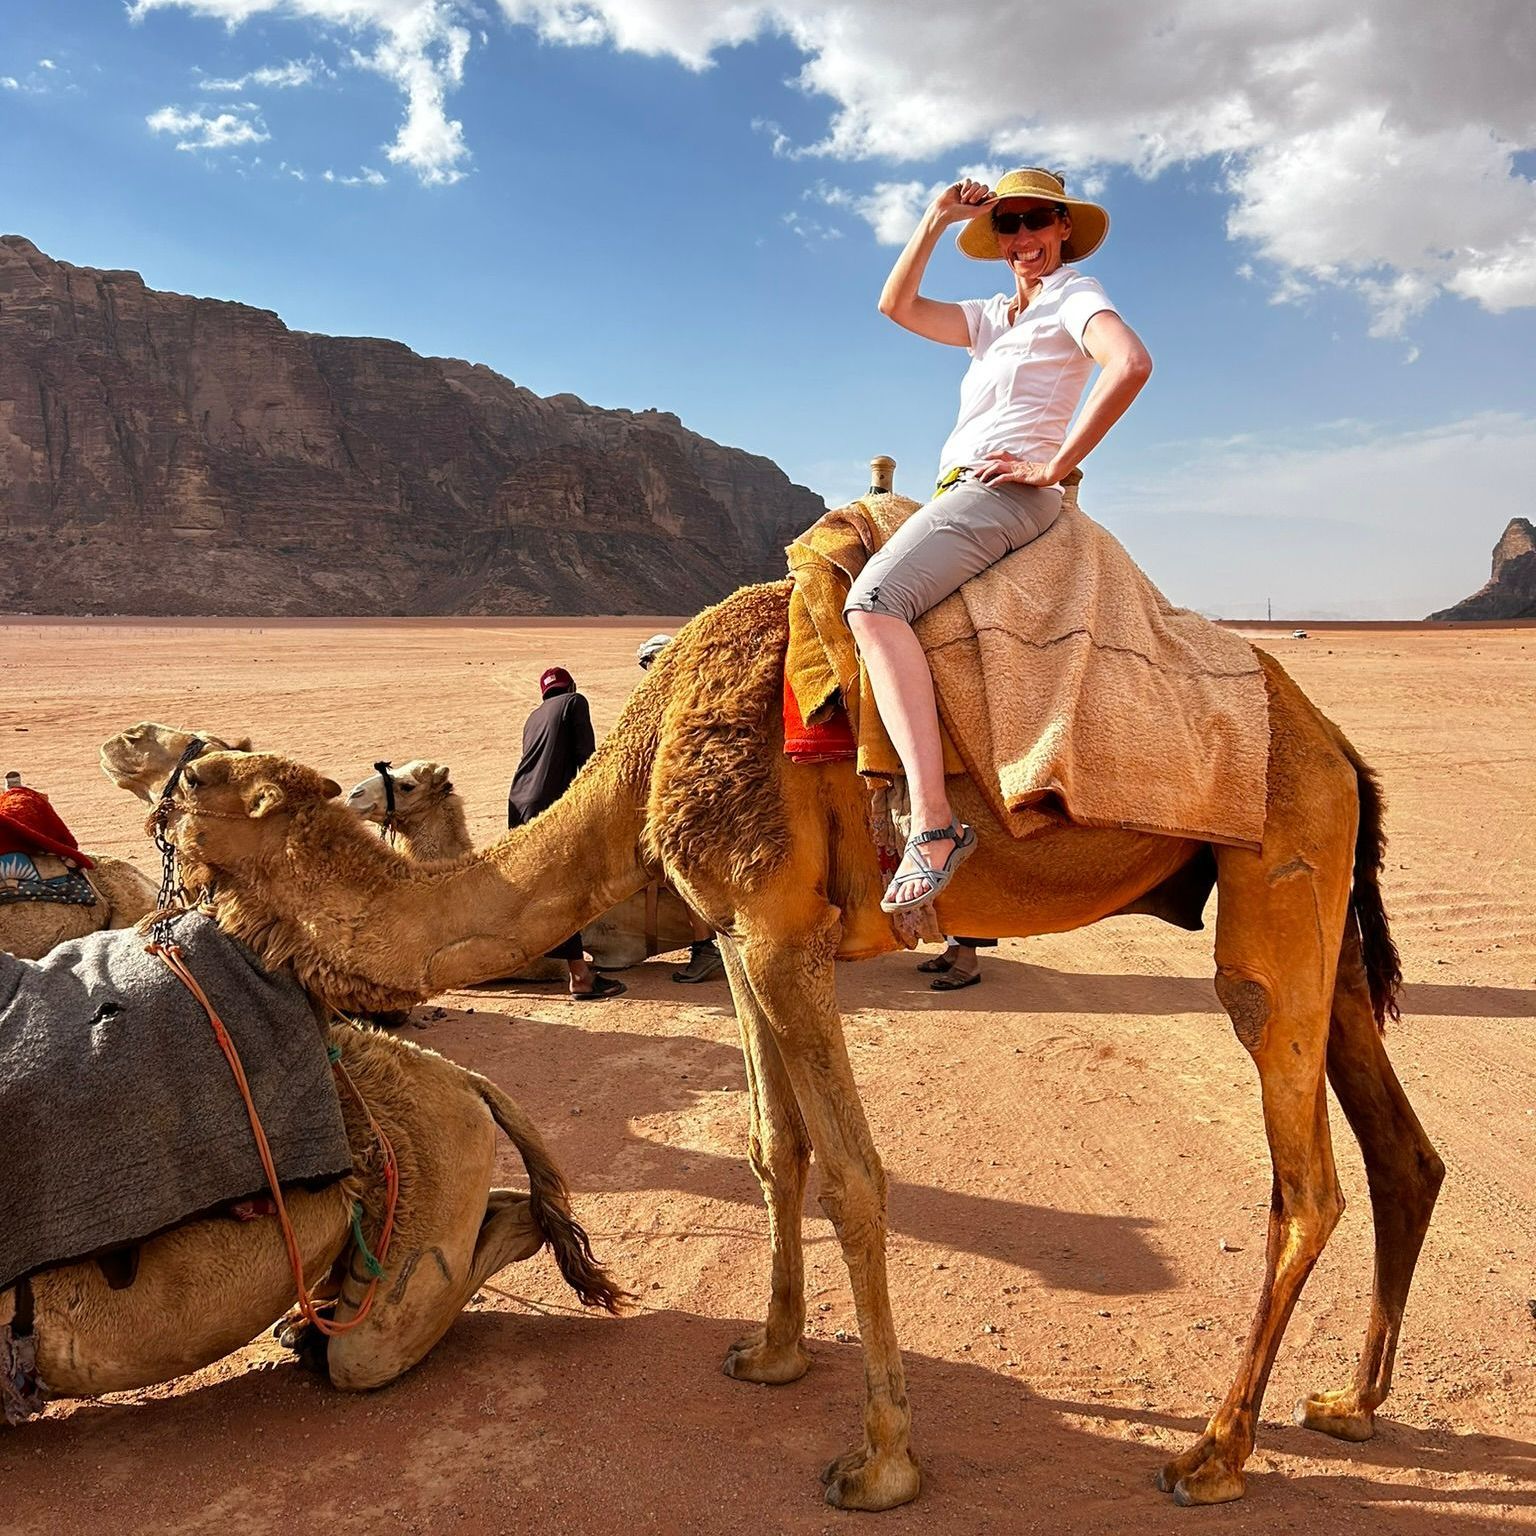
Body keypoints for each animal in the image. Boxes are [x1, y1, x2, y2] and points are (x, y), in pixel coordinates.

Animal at [162, 577, 1443, 1511]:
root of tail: (1338, 745)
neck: (644, 756)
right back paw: (1351, 1405)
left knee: (1305, 1179)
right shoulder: (738, 937)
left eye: (209, 781)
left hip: (1278, 875)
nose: (155, 778)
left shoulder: (784, 935)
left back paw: (1214, 1455)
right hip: (1319, 907)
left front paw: (881, 1463)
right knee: (1403, 1155)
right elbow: (775, 1150)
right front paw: (771, 1355)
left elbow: (858, 1178)